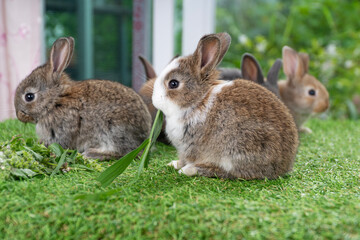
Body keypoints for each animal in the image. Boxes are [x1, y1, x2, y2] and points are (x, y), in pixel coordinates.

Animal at [13, 37, 152, 159]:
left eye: (29, 96)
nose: (19, 116)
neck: (55, 100)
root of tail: (145, 136)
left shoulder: (61, 129)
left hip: (114, 131)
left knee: (126, 152)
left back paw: (92, 154)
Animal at [151, 33, 298, 180]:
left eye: (173, 83)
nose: (154, 100)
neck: (198, 100)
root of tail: (282, 166)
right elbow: (182, 159)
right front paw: (173, 163)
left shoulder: (191, 146)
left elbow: (190, 158)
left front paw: (183, 167)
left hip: (236, 150)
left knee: (229, 172)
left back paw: (189, 170)